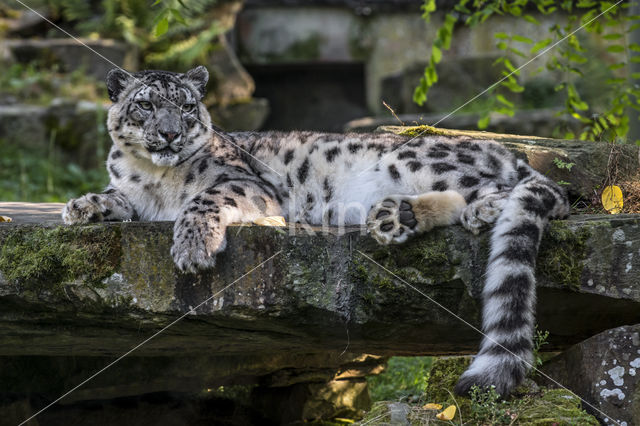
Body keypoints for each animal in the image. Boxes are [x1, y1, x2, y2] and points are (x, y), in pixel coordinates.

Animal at [62, 65, 568, 396]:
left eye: (187, 107)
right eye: (146, 105)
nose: (169, 134)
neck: (153, 176)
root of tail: (505, 150)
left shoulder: (249, 186)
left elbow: (201, 200)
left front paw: (191, 247)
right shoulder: (133, 191)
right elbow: (117, 197)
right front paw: (81, 208)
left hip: (418, 160)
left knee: (531, 191)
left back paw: (476, 210)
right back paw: (394, 215)